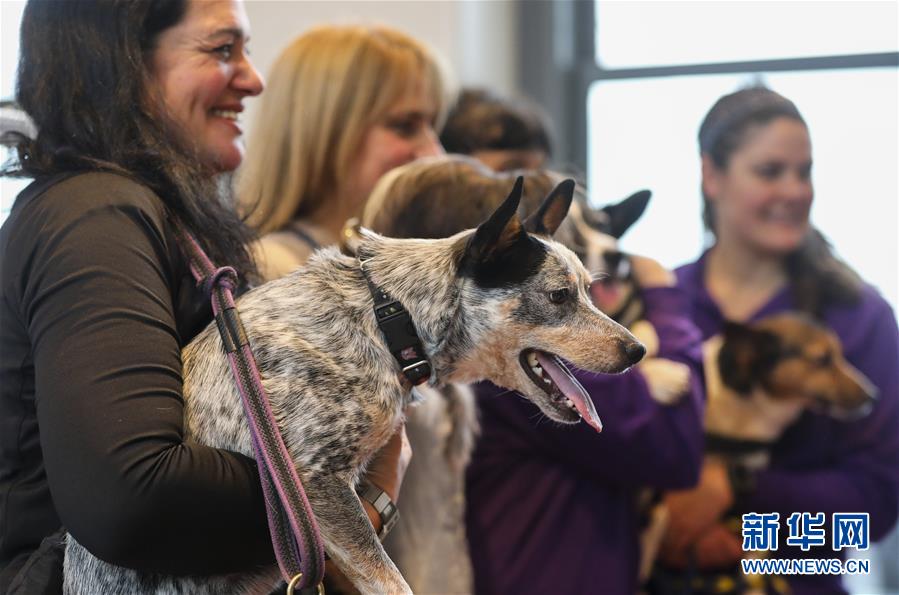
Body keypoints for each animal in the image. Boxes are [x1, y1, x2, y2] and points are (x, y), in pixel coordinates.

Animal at [65, 179, 648, 595]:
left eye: (589, 291)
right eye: (558, 296)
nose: (637, 351)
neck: (389, 319)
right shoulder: (312, 480)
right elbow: (392, 581)